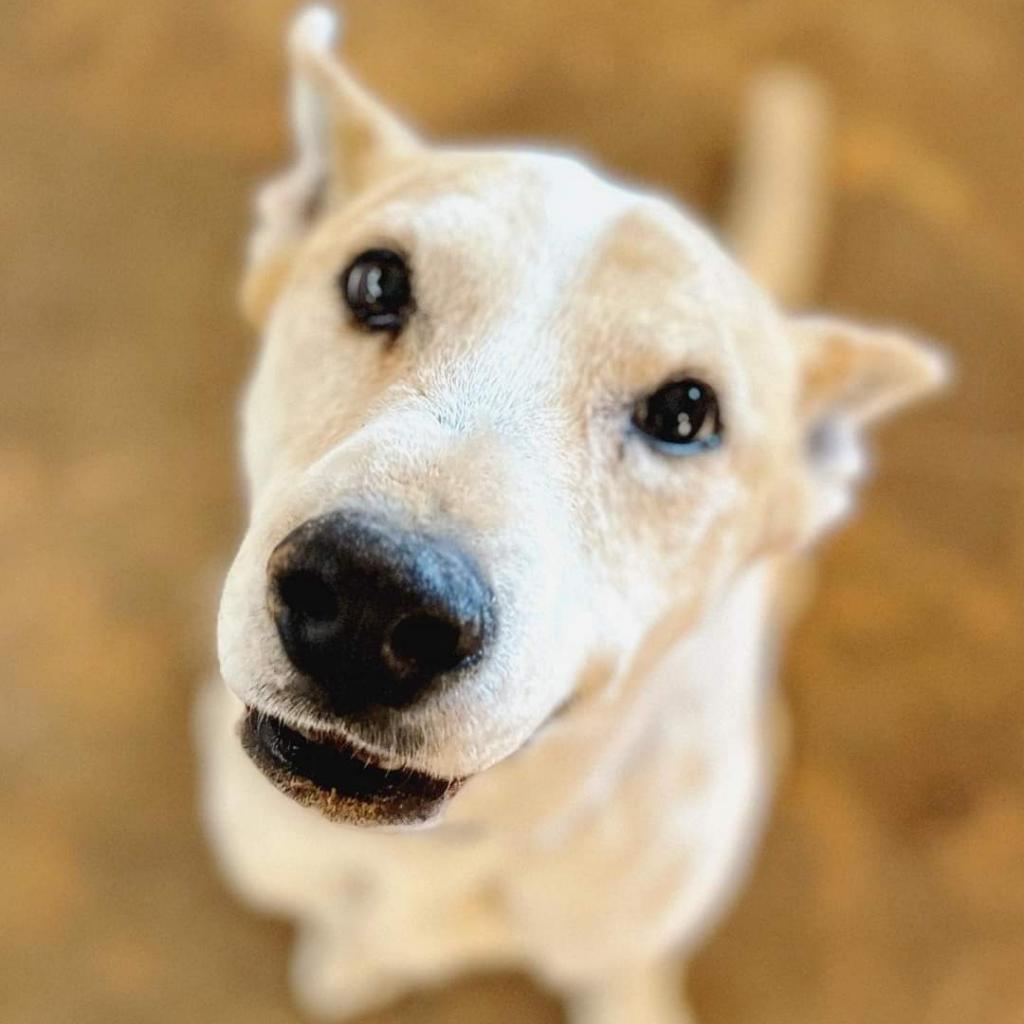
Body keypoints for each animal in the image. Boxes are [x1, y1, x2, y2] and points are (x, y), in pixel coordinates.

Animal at [195, 9, 946, 1024]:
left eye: (685, 415)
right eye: (376, 283)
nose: (371, 598)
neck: (463, 843)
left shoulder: (619, 950)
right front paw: (351, 963)